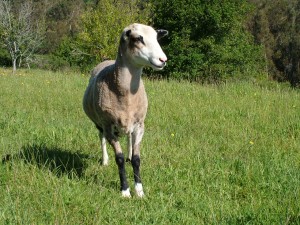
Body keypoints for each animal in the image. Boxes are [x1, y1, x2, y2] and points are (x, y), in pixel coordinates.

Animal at [83, 23, 168, 197]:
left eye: (157, 37)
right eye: (138, 38)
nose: (163, 60)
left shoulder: (140, 125)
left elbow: (137, 159)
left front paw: (140, 191)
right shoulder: (108, 126)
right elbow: (119, 159)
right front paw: (125, 191)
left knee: (128, 138)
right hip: (100, 124)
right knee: (101, 138)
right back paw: (105, 161)